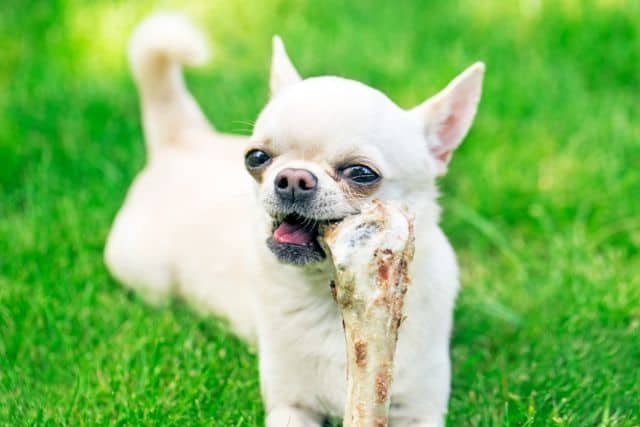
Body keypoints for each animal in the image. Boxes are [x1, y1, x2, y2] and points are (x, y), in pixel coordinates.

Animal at [106, 13, 484, 427]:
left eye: (362, 173)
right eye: (256, 158)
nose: (293, 178)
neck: (329, 297)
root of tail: (182, 138)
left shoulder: (419, 411)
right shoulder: (291, 406)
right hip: (146, 276)